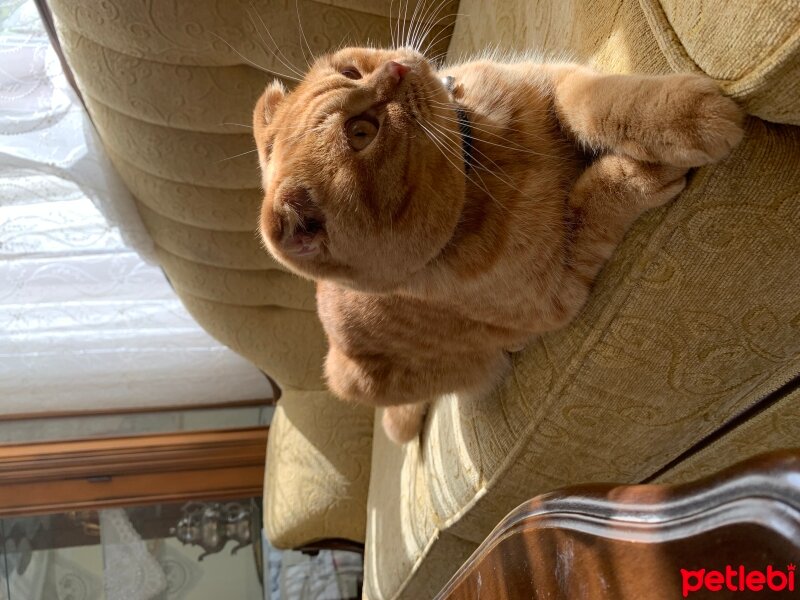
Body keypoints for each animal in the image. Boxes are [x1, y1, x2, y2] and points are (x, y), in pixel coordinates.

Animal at [252, 47, 744, 442]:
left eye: (351, 71)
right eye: (361, 132)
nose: (396, 68)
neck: (482, 154)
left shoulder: (555, 82)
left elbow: (601, 102)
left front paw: (690, 115)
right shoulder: (561, 286)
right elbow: (594, 194)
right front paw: (645, 170)